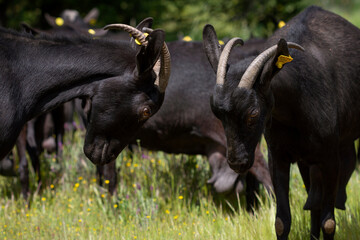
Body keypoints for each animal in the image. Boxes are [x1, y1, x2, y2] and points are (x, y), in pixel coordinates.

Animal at [204, 5, 358, 240]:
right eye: (217, 113)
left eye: (253, 113)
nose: (237, 162)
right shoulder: (278, 157)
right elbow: (281, 222)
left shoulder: (331, 158)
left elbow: (329, 222)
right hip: (307, 160)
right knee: (314, 201)